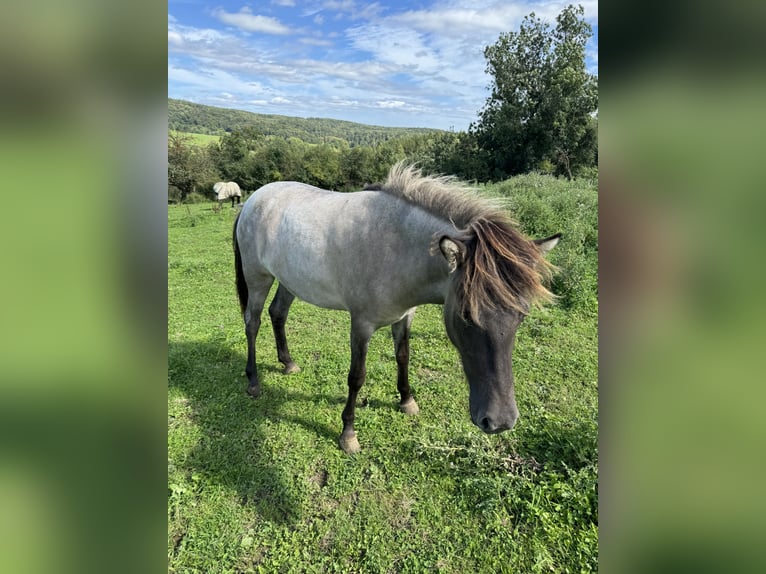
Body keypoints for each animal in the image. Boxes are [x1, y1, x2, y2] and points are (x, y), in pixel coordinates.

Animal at [231, 164, 560, 456]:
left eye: (521, 315)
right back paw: (253, 381)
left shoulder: (404, 317)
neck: (396, 248)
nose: (500, 421)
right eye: (466, 316)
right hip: (258, 278)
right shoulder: (361, 325)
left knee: (278, 314)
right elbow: (357, 376)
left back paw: (288, 363)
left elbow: (403, 357)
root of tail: (253, 199)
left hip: (289, 281)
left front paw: (406, 401)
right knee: (252, 322)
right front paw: (348, 434)